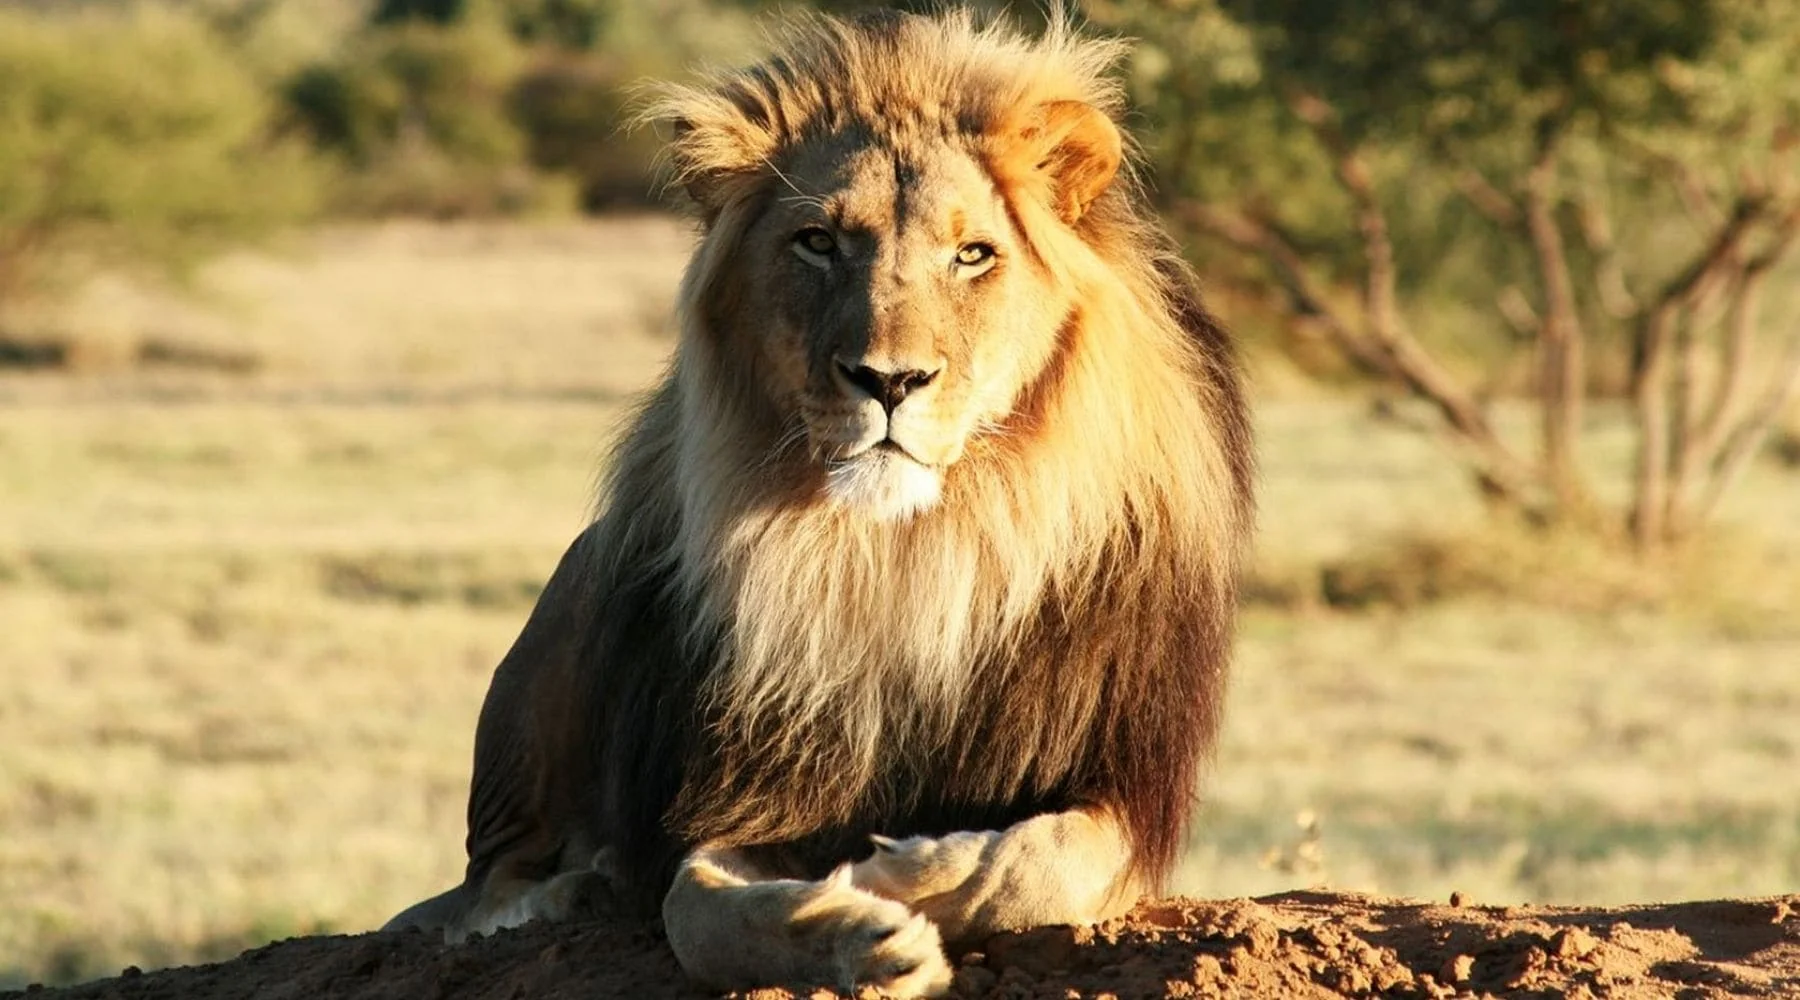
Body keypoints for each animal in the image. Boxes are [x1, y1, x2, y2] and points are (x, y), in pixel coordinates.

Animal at [383, 8, 1253, 997]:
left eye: (973, 255)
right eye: (819, 243)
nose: (890, 380)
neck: (912, 554)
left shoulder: (1126, 788)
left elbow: (1039, 865)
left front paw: (907, 874)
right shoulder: (751, 787)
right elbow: (695, 911)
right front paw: (861, 932)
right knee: (486, 884)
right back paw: (578, 888)